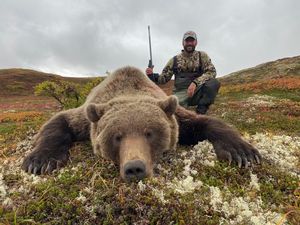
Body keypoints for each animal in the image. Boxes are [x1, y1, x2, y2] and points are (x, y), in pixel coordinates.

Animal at [21, 66, 260, 181]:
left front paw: (243, 152)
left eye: (150, 133)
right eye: (116, 137)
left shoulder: (176, 115)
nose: (134, 167)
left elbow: (205, 123)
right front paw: (40, 161)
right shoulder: (86, 118)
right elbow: (59, 121)